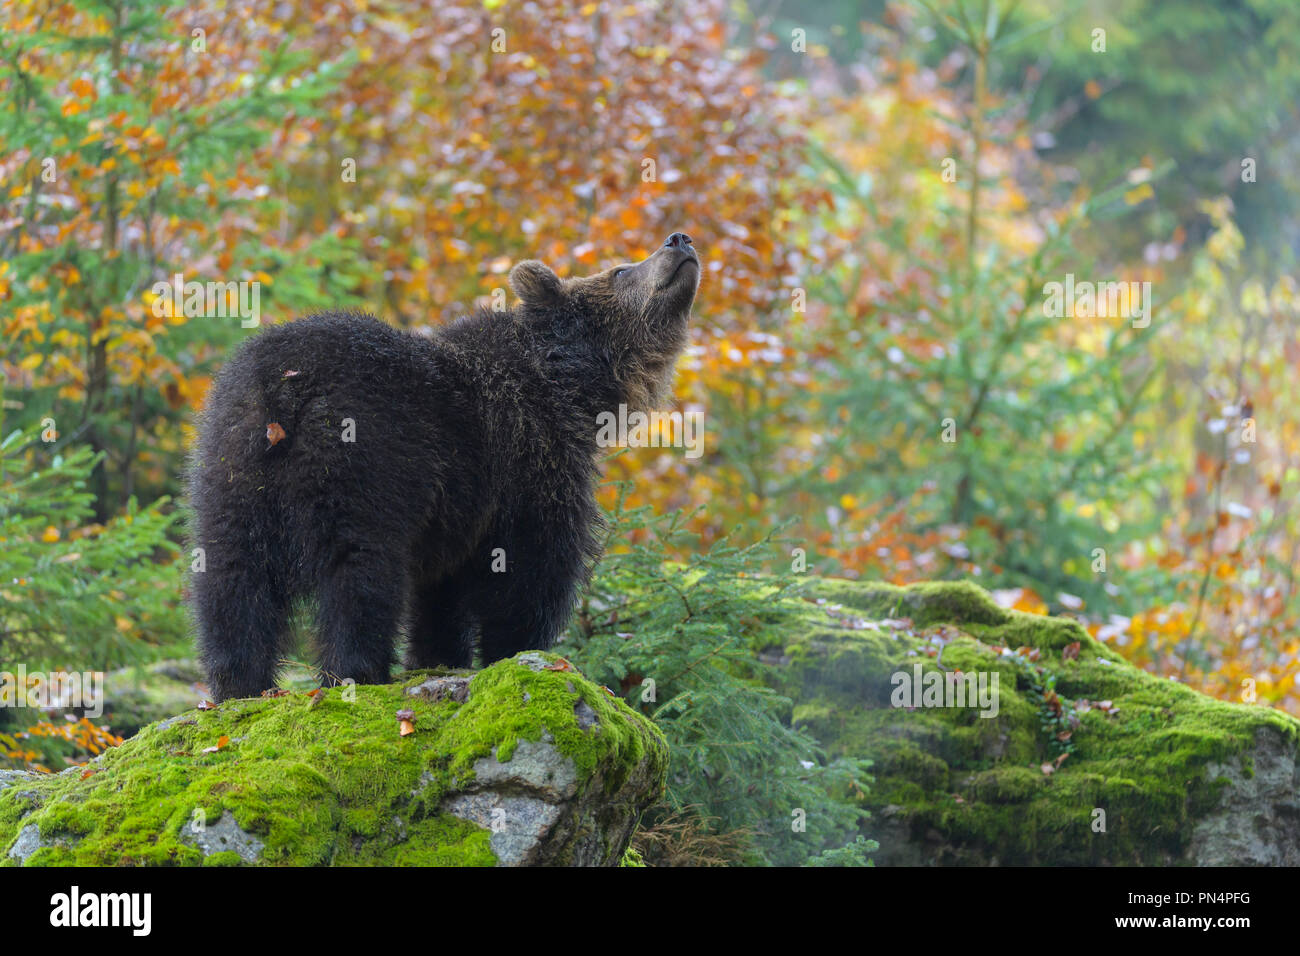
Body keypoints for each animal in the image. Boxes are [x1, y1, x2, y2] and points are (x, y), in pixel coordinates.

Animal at [190, 232, 700, 701]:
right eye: (620, 270)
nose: (679, 240)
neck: (570, 387)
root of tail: (284, 386)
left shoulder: (461, 507)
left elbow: (442, 595)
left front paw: (438, 656)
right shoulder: (529, 462)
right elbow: (532, 570)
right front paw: (520, 650)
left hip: (230, 464)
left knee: (230, 577)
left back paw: (240, 685)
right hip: (362, 461)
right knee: (359, 572)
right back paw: (356, 673)